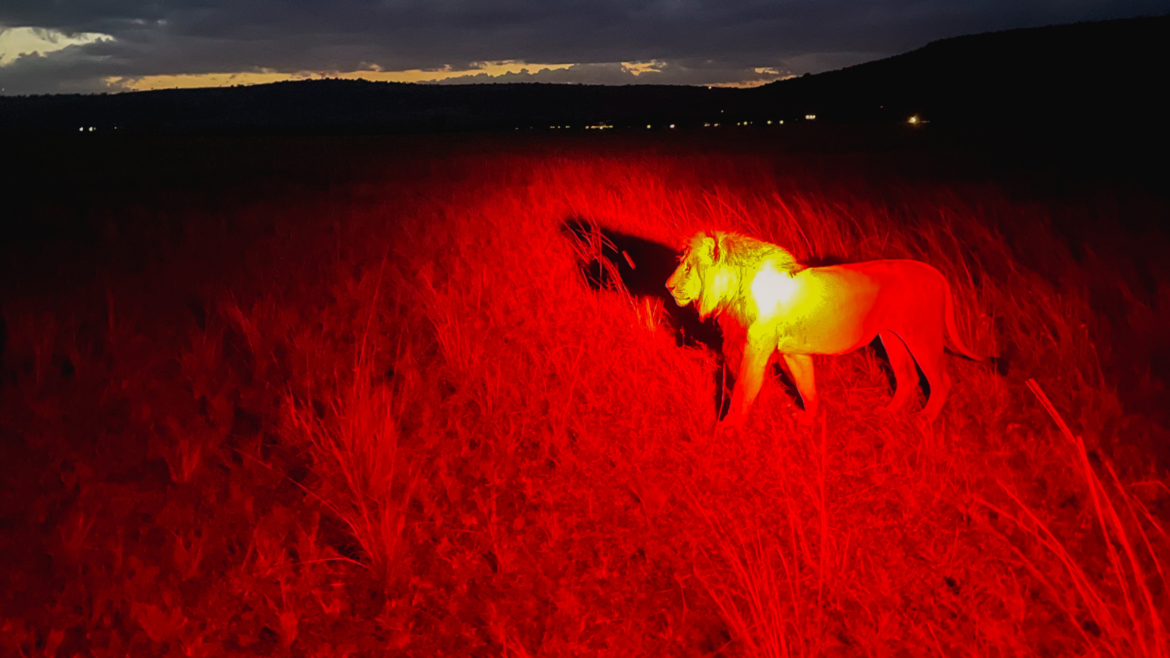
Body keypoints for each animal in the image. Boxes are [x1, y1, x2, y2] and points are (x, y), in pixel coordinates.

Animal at [664, 230, 982, 426]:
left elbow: (744, 388)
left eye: (688, 267)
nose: (668, 286)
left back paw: (924, 419)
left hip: (921, 334)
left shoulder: (757, 348)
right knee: (908, 377)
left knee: (940, 380)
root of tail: (936, 272)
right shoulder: (793, 352)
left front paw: (725, 430)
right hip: (891, 336)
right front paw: (809, 419)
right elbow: (807, 385)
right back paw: (887, 413)